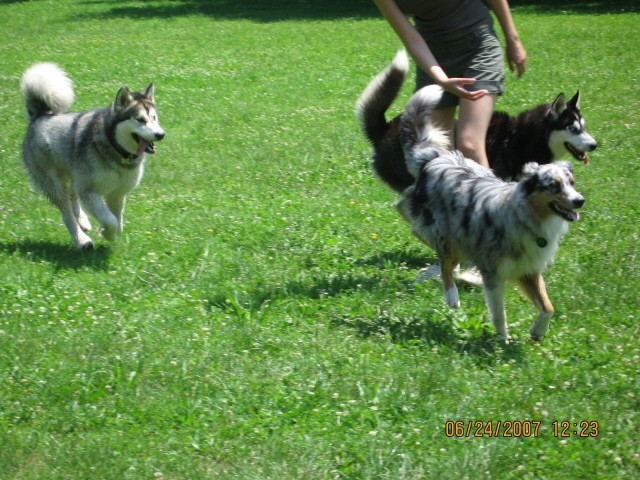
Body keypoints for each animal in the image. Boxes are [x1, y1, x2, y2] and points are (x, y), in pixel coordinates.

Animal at [21, 63, 164, 249]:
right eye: (140, 119)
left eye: (154, 118)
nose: (160, 134)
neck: (116, 149)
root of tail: (41, 115)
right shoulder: (88, 190)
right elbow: (110, 219)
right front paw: (106, 232)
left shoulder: (117, 193)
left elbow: (117, 220)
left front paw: (108, 232)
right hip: (54, 182)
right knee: (66, 212)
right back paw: (81, 239)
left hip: (73, 175)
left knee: (72, 196)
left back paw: (83, 221)